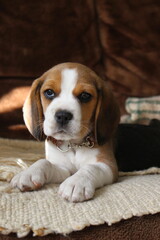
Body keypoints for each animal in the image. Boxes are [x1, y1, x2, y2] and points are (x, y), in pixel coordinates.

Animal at [11, 62, 119, 202]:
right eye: (49, 92)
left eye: (85, 95)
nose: (62, 116)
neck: (73, 145)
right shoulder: (63, 169)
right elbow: (44, 162)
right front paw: (29, 173)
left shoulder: (109, 166)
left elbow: (91, 168)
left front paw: (76, 182)